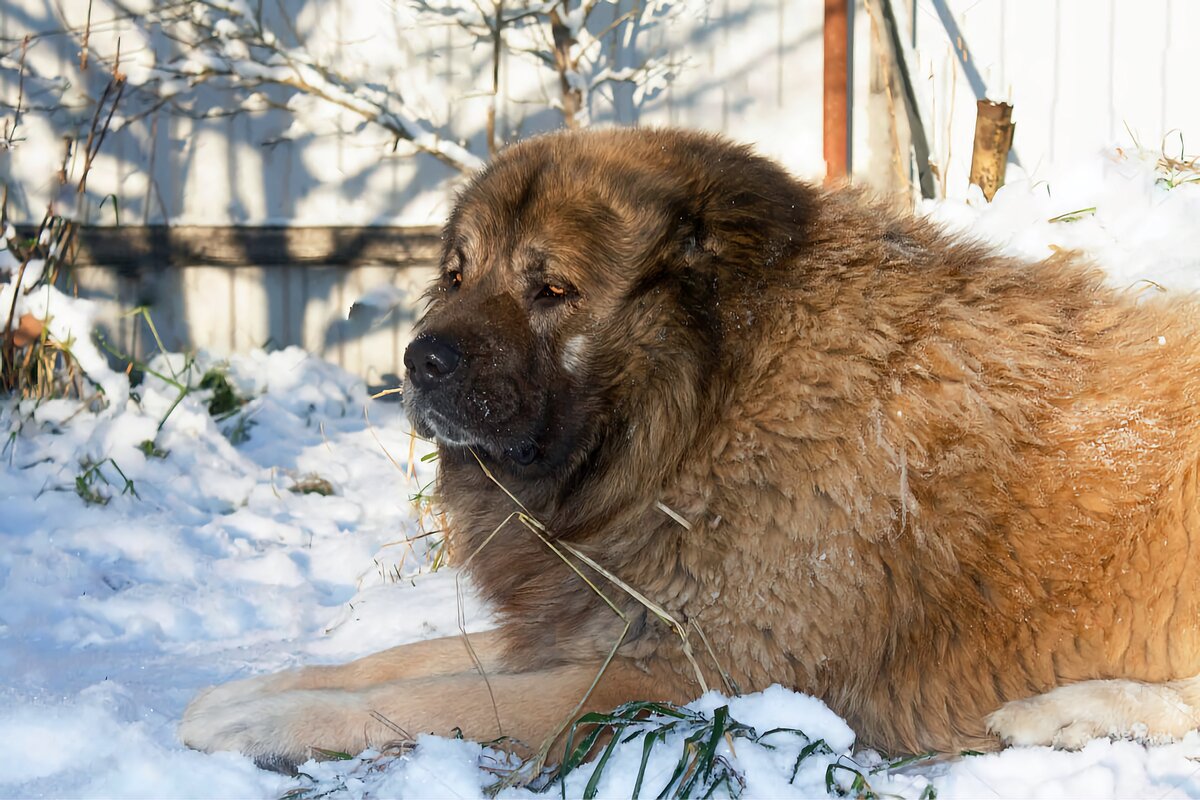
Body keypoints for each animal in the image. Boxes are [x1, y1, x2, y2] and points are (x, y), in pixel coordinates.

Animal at [180, 130, 1200, 767]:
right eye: (458, 275)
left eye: (552, 289)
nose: (419, 359)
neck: (712, 408)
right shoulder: (597, 621)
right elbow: (406, 661)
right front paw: (247, 694)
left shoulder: (679, 678)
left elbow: (440, 700)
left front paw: (273, 721)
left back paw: (1064, 713)